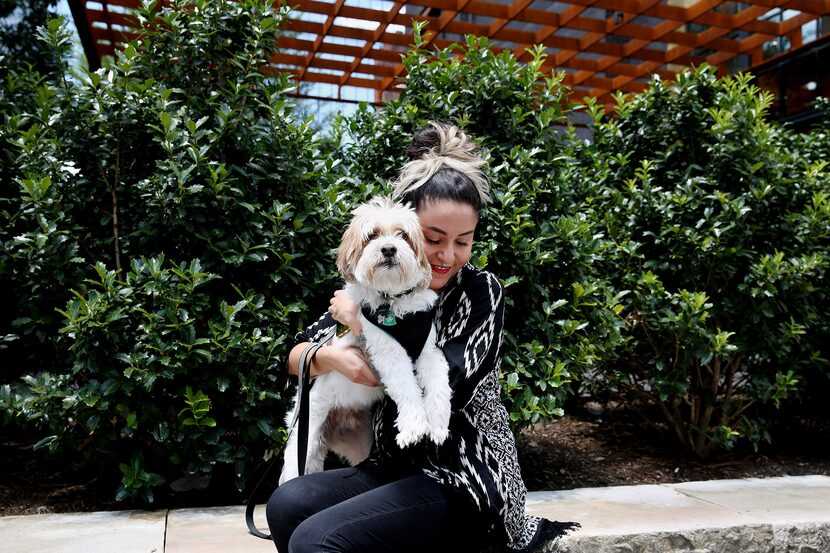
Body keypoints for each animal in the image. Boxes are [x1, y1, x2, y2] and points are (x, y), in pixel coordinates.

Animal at [282, 196, 452, 480]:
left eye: (403, 235)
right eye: (372, 235)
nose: (389, 249)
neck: (393, 302)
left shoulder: (428, 351)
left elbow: (440, 384)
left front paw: (438, 424)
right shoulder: (387, 352)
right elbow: (406, 385)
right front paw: (414, 426)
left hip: (359, 441)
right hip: (303, 446)